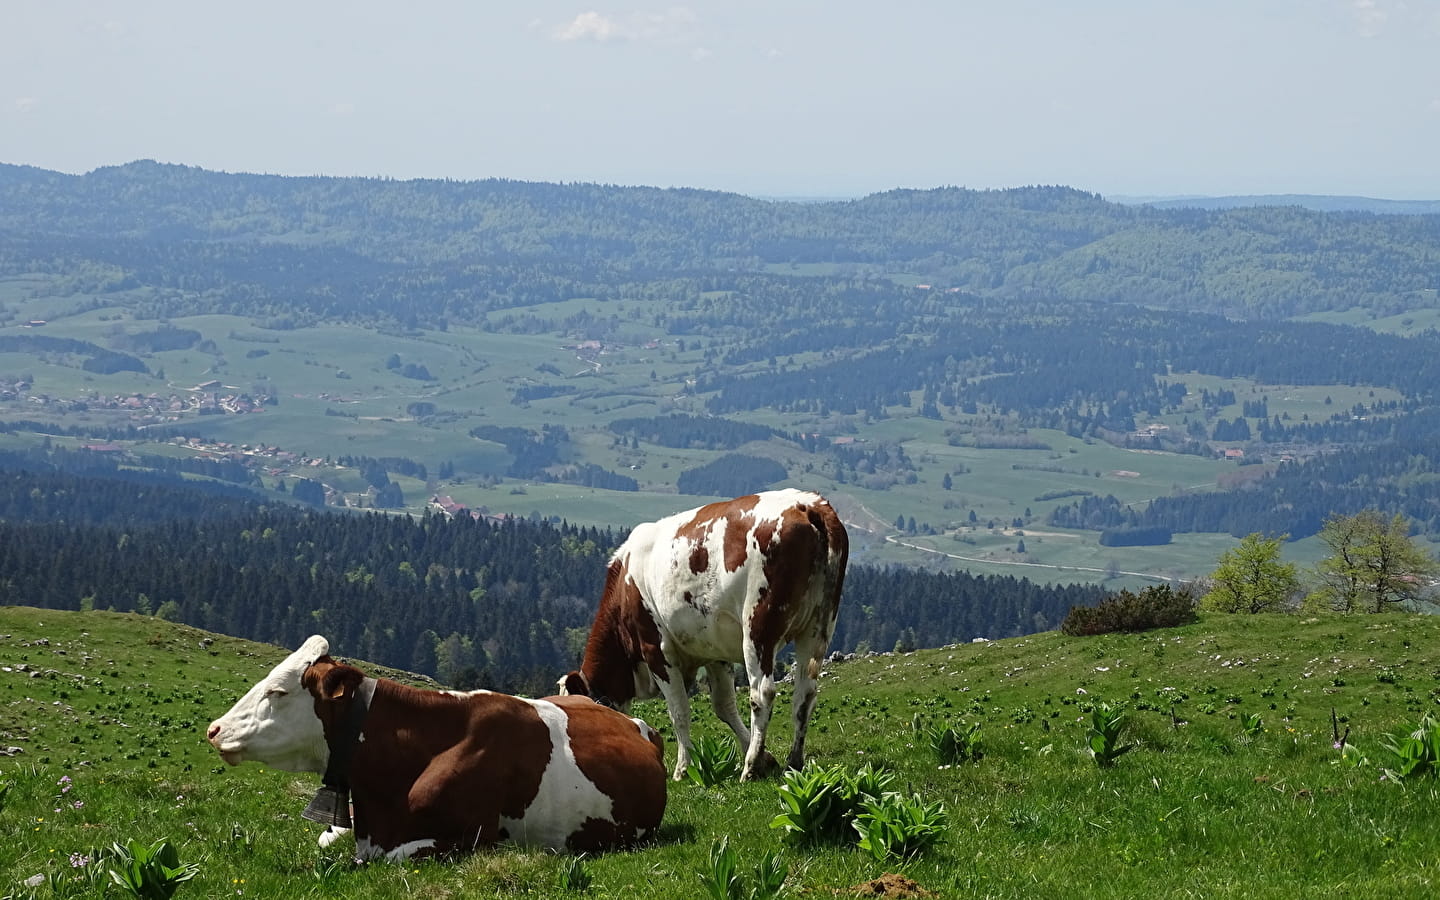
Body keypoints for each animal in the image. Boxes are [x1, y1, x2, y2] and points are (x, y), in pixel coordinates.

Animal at [552, 492, 840, 777]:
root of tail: (805, 505)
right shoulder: (714, 651)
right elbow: (724, 706)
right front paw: (767, 758)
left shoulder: (656, 650)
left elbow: (679, 712)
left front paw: (683, 768)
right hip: (819, 625)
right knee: (805, 694)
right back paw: (794, 761)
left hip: (758, 628)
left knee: (762, 693)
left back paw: (750, 766)